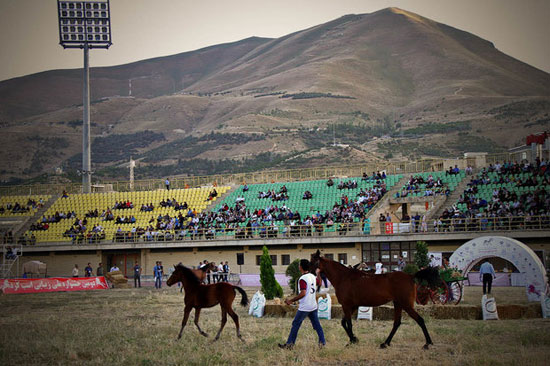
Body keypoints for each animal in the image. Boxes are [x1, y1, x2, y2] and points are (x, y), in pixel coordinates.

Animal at [312, 250, 442, 350]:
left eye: (313, 261)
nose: (310, 273)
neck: (343, 277)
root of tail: (410, 276)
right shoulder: (353, 306)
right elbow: (344, 323)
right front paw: (354, 339)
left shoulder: (347, 305)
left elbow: (348, 323)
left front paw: (353, 340)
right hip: (398, 304)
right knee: (397, 323)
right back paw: (385, 343)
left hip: (406, 305)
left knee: (420, 320)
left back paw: (427, 343)